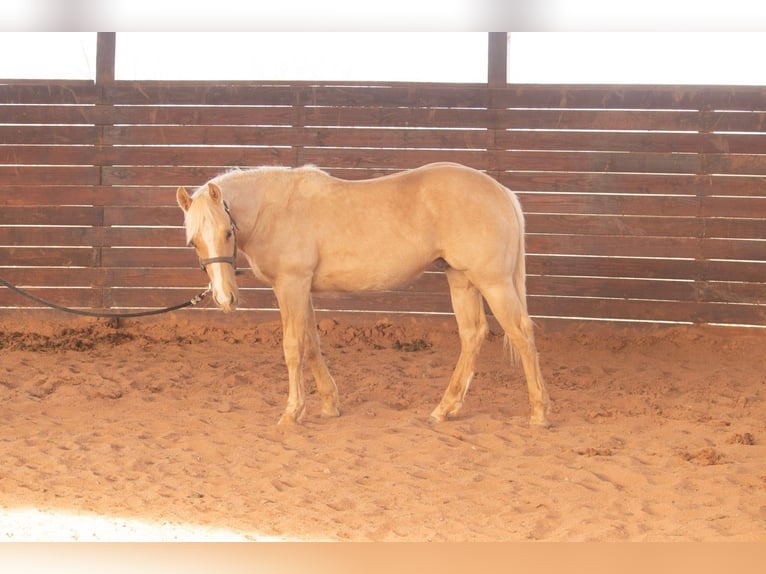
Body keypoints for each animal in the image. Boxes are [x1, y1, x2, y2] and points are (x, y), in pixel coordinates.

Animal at [176, 162, 550, 427]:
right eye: (193, 241)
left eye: (227, 232)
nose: (225, 299)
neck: (277, 209)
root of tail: (500, 191)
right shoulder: (302, 289)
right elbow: (312, 343)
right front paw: (329, 405)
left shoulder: (291, 285)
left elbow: (293, 347)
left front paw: (292, 412)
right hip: (461, 279)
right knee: (473, 335)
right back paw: (444, 409)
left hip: (493, 282)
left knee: (521, 332)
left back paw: (539, 414)